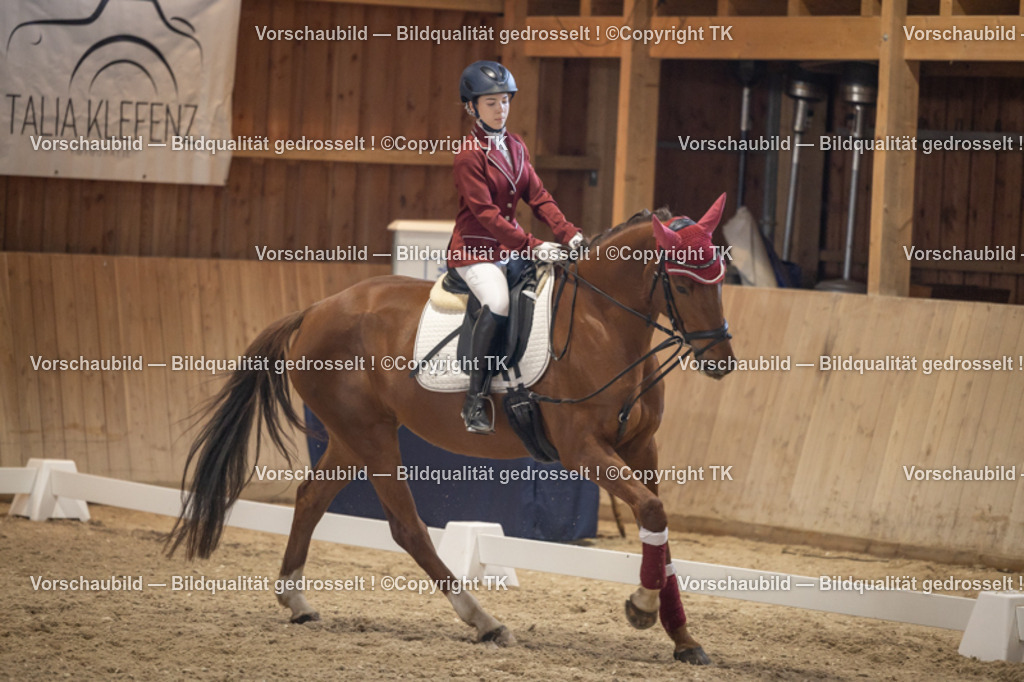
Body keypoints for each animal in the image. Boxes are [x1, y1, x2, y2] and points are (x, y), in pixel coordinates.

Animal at [167, 194, 736, 666]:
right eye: (683, 283)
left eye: (721, 277)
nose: (722, 363)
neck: (602, 323)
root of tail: (314, 310)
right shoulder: (584, 451)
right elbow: (652, 511)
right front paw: (640, 607)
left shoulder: (640, 447)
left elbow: (659, 532)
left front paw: (684, 640)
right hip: (372, 436)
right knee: (408, 529)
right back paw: (484, 621)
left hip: (350, 438)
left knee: (310, 500)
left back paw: (297, 600)